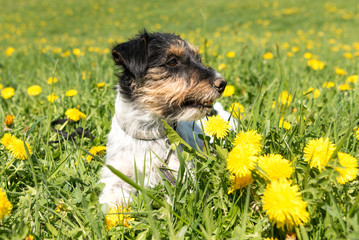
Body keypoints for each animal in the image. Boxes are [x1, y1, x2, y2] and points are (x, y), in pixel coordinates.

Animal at [100, 30, 232, 206]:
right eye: (172, 61)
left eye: (198, 58)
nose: (222, 83)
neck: (149, 133)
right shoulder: (117, 173)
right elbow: (112, 199)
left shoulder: (181, 172)